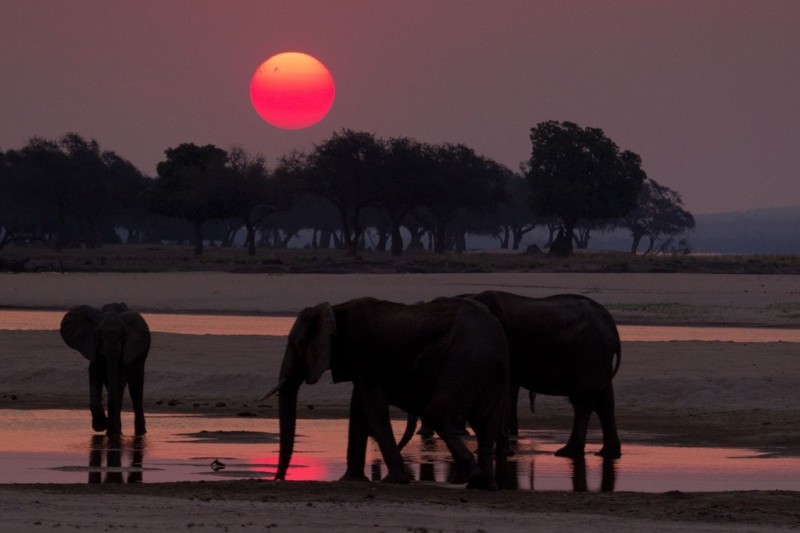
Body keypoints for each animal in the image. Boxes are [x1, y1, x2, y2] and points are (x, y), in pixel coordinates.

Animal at [59, 304, 152, 436]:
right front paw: (102, 426)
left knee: (135, 388)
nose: (107, 423)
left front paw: (110, 430)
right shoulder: (93, 349)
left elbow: (119, 380)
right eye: (99, 335)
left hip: (142, 355)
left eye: (124, 336)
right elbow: (94, 376)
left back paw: (139, 433)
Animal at [266, 298, 510, 488]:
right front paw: (351, 480)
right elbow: (359, 409)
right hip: (490, 372)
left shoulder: (364, 356)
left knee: (436, 415)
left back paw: (472, 476)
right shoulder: (362, 365)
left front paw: (393, 480)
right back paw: (484, 484)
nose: (279, 479)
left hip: (461, 364)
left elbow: (372, 408)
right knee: (486, 423)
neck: (336, 309)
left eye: (296, 345)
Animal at [468, 290, 624, 458]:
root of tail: (612, 325)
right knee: (605, 401)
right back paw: (608, 453)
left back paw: (568, 452)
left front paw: (500, 452)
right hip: (599, 357)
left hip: (590, 354)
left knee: (582, 401)